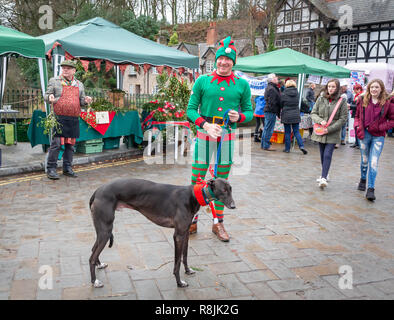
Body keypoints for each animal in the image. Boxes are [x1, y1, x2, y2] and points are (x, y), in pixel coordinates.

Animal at [88, 178, 234, 288]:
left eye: (231, 189)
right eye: (223, 190)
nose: (233, 206)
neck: (193, 196)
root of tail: (97, 191)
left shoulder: (185, 232)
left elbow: (185, 255)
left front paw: (188, 271)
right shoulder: (178, 235)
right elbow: (177, 262)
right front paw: (179, 282)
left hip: (102, 230)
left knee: (93, 249)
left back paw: (99, 265)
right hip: (106, 230)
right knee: (92, 257)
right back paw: (94, 281)